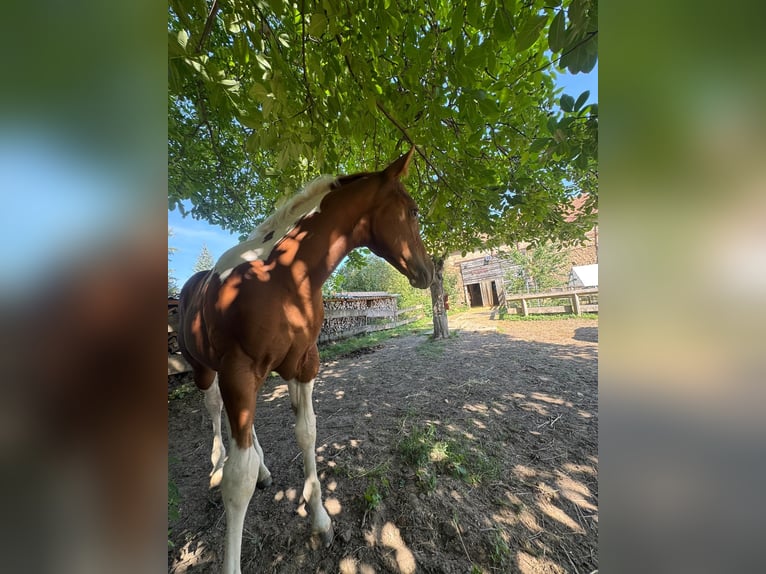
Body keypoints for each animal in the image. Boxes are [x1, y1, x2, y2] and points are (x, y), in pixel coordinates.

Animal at [177, 148, 434, 574]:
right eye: (412, 211)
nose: (428, 271)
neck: (285, 278)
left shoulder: (302, 366)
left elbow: (307, 434)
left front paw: (320, 522)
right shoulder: (239, 371)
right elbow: (238, 479)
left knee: (239, 427)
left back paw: (263, 469)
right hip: (206, 370)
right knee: (215, 412)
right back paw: (216, 464)